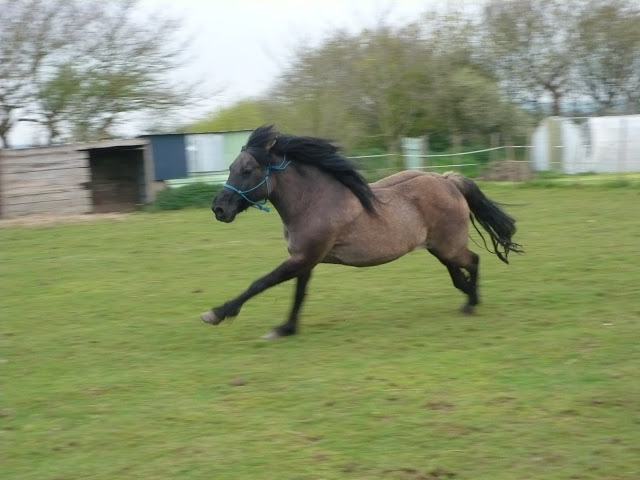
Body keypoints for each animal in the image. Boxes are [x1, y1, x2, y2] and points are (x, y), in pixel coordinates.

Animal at [202, 125, 524, 340]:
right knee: (460, 275)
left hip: (449, 246)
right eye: (231, 167)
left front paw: (217, 313)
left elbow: (261, 282)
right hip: (438, 248)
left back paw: (472, 302)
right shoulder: (305, 259)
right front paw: (286, 328)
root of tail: (448, 180)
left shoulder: (303, 258)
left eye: (246, 170)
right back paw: (469, 296)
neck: (313, 202)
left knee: (473, 262)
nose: (218, 208)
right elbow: (299, 293)